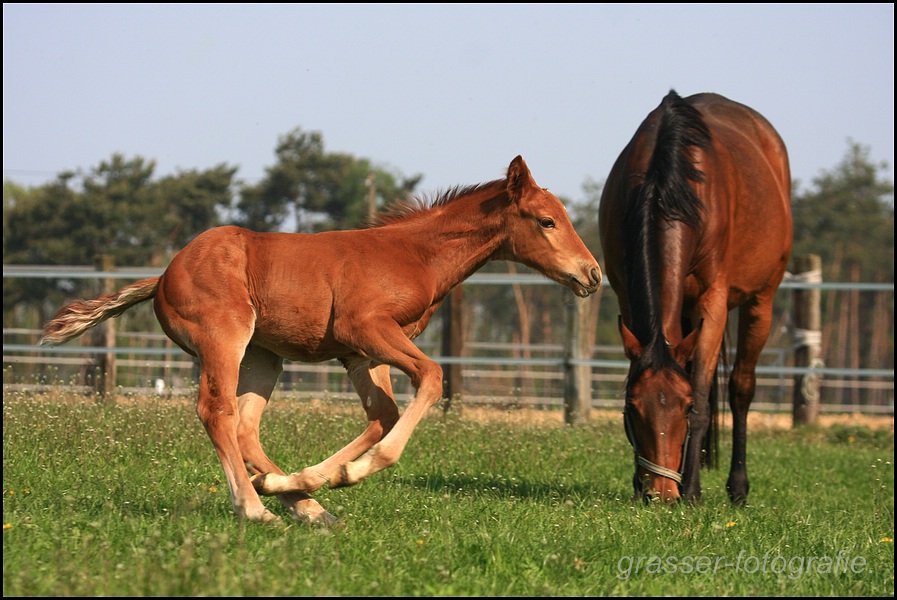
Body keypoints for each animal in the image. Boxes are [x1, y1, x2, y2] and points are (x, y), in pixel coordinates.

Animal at [43, 155, 600, 524]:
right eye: (547, 221)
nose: (592, 274)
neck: (413, 254)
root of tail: (161, 277)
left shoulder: (361, 354)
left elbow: (384, 415)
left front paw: (322, 478)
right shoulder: (367, 329)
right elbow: (432, 378)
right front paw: (354, 472)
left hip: (263, 358)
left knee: (246, 427)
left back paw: (301, 502)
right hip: (225, 338)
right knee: (216, 412)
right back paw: (256, 508)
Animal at [600, 91, 788, 506]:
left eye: (684, 409)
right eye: (631, 407)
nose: (662, 492)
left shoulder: (713, 300)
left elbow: (704, 396)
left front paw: (693, 491)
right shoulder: (625, 293)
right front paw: (640, 485)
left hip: (761, 301)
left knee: (741, 388)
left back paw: (736, 488)